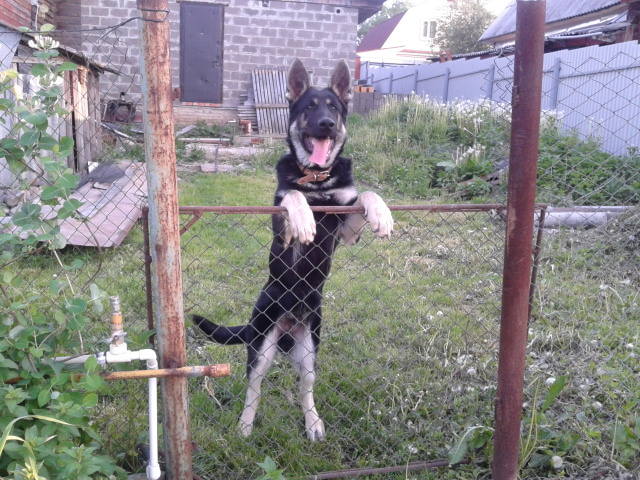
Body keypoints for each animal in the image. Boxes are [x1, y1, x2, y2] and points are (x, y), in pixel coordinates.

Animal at [193, 59, 394, 441]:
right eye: (309, 108)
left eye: (333, 107)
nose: (327, 124)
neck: (317, 181)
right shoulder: (281, 223)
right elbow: (292, 196)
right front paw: (302, 217)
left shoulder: (347, 228)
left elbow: (365, 195)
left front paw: (382, 212)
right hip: (261, 348)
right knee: (254, 389)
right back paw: (245, 425)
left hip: (309, 351)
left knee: (306, 389)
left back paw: (313, 422)